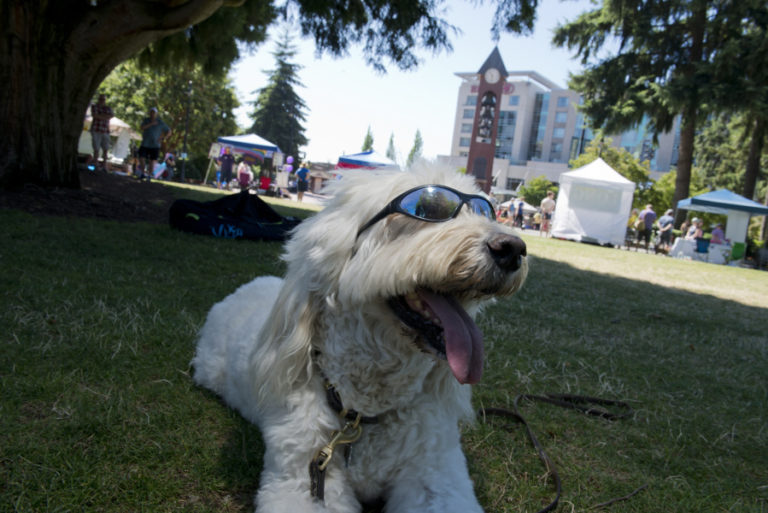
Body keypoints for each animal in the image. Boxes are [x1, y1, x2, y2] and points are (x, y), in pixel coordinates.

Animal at [192, 165, 528, 512]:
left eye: (485, 210)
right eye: (427, 210)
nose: (513, 249)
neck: (366, 412)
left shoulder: (436, 476)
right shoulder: (305, 480)